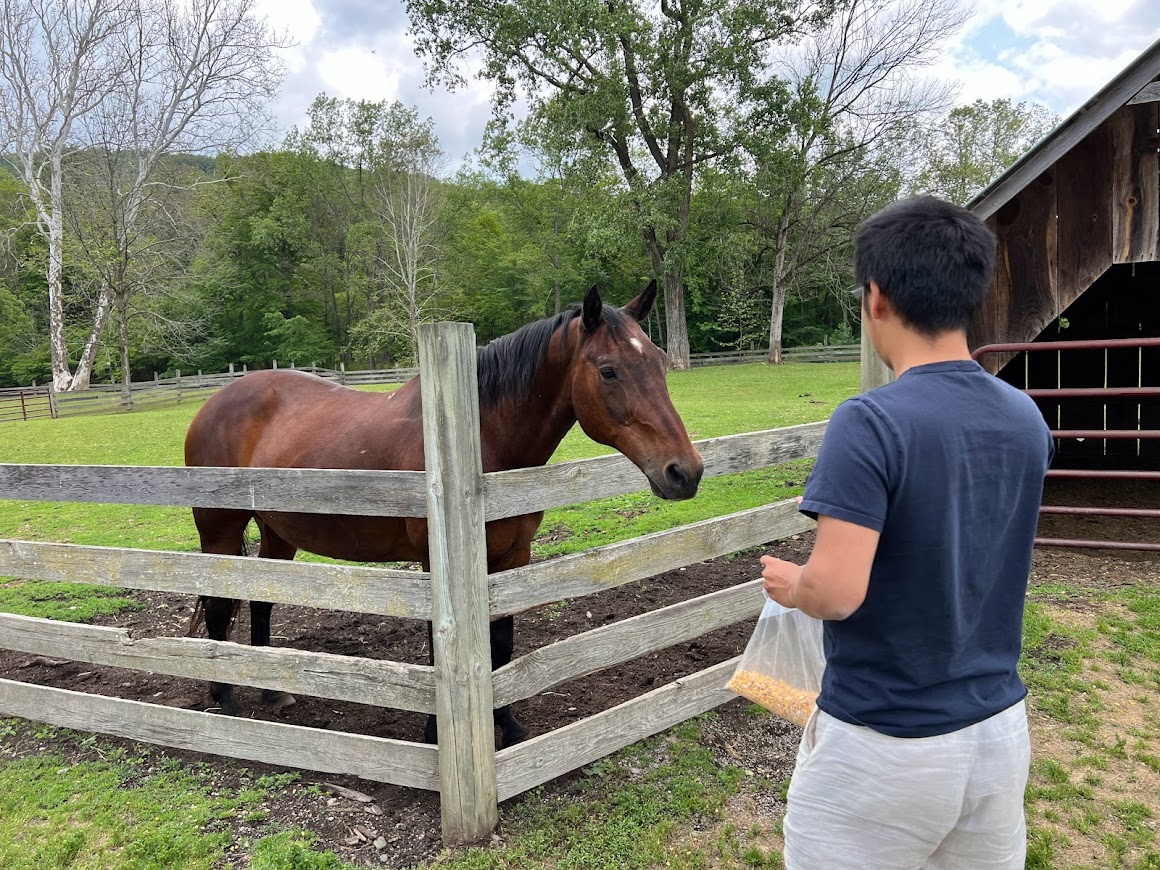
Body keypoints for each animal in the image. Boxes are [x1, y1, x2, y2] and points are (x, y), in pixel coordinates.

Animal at [185, 283, 700, 747]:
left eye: (659, 362)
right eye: (609, 371)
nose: (685, 471)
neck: (479, 441)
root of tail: (215, 402)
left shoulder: (511, 557)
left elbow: (500, 642)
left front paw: (508, 726)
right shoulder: (438, 564)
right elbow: (441, 645)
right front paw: (436, 732)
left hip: (277, 531)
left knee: (261, 600)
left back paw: (272, 691)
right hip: (219, 529)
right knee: (217, 606)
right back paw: (226, 696)